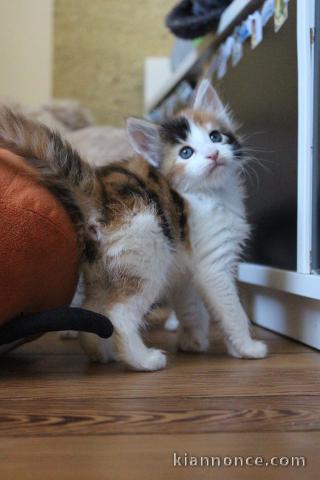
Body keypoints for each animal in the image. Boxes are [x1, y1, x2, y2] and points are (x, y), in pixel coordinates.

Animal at [0, 80, 268, 370]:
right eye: (186, 152)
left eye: (216, 137)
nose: (213, 154)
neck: (210, 192)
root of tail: (98, 198)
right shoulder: (213, 264)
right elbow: (231, 309)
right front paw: (248, 347)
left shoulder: (185, 270)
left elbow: (190, 307)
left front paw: (194, 341)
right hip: (147, 254)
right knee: (119, 314)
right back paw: (143, 360)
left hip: (103, 270)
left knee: (94, 310)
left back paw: (100, 354)